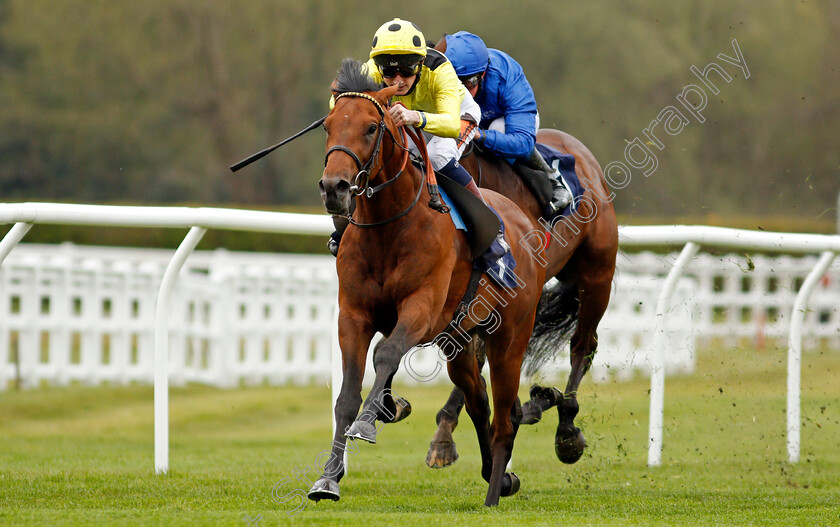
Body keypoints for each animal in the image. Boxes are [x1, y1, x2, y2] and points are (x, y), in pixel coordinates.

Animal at [306, 59, 544, 510]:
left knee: (506, 415)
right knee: (478, 400)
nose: (333, 188)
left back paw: (494, 492)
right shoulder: (354, 314)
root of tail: (524, 221)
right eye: (328, 125)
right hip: (460, 343)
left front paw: (370, 421)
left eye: (370, 127)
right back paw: (497, 474)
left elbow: (386, 354)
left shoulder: (423, 308)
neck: (389, 226)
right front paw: (328, 478)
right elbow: (347, 394)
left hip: (510, 339)